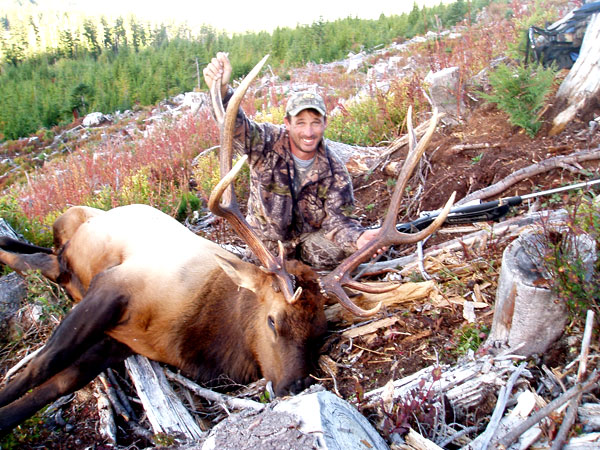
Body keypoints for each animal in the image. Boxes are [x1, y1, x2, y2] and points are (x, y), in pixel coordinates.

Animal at [0, 54, 452, 434]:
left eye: (320, 333)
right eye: (272, 321)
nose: (295, 387)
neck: (196, 334)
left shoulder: (118, 343)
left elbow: (51, 387)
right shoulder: (114, 287)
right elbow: (35, 370)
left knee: (37, 257)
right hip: (67, 232)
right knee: (37, 258)